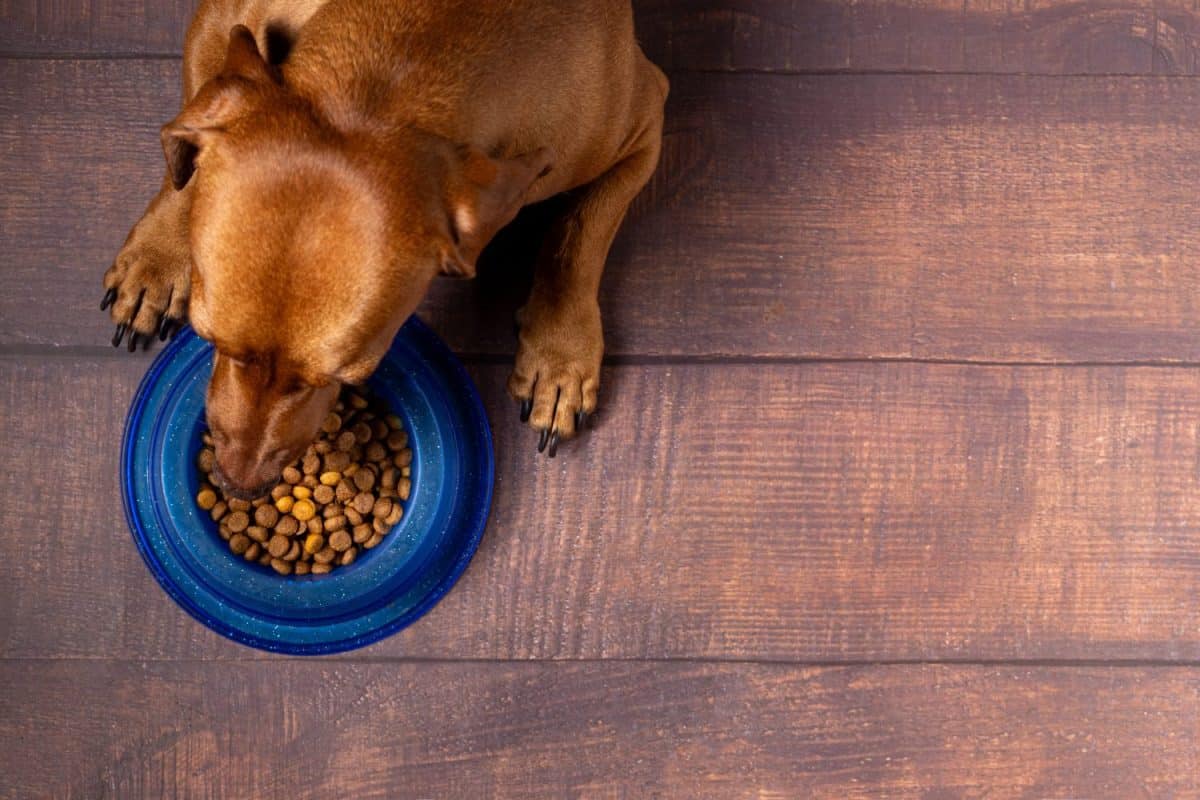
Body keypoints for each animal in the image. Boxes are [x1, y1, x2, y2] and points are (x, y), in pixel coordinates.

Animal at [100, 1, 667, 494]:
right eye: (207, 337)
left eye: (347, 376)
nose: (238, 486)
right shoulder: (222, 19)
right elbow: (190, 144)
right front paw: (158, 256)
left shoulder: (645, 123)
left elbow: (581, 234)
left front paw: (559, 356)